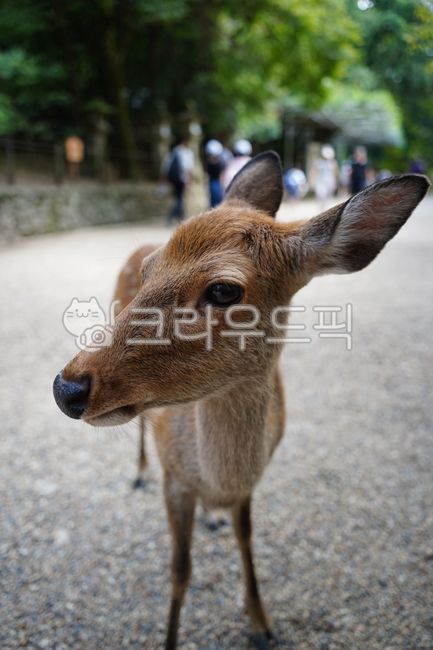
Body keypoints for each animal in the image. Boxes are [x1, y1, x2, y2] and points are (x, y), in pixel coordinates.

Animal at [53, 152, 429, 649]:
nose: (67, 387)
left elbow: (247, 539)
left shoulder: (250, 484)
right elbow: (180, 571)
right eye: (151, 270)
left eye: (223, 289)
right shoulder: (175, 477)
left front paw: (262, 624)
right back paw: (139, 474)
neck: (220, 478)